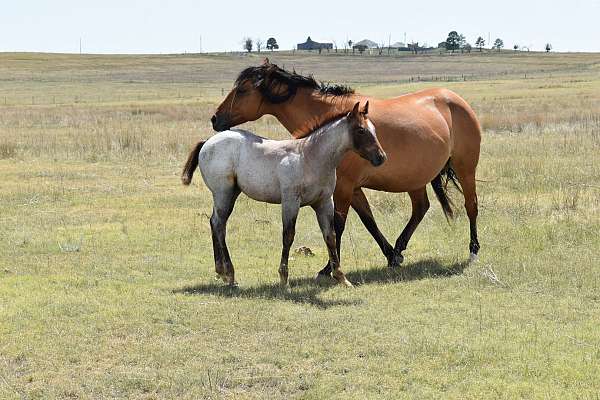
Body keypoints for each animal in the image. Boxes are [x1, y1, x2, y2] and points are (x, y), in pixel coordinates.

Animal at [180, 101, 384, 288]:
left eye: (374, 129)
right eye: (360, 130)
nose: (381, 157)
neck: (310, 158)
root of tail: (207, 142)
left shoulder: (324, 203)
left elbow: (330, 236)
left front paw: (341, 278)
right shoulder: (290, 201)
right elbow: (288, 235)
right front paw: (284, 278)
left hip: (231, 194)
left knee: (215, 222)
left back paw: (221, 272)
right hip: (224, 193)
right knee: (219, 224)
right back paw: (230, 274)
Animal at [211, 58, 482, 278]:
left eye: (243, 90)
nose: (215, 119)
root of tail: (455, 99)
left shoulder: (343, 187)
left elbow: (337, 226)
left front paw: (329, 268)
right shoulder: (352, 188)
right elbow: (368, 221)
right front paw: (391, 255)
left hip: (465, 168)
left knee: (471, 206)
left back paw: (473, 249)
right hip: (414, 179)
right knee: (421, 208)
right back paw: (399, 247)